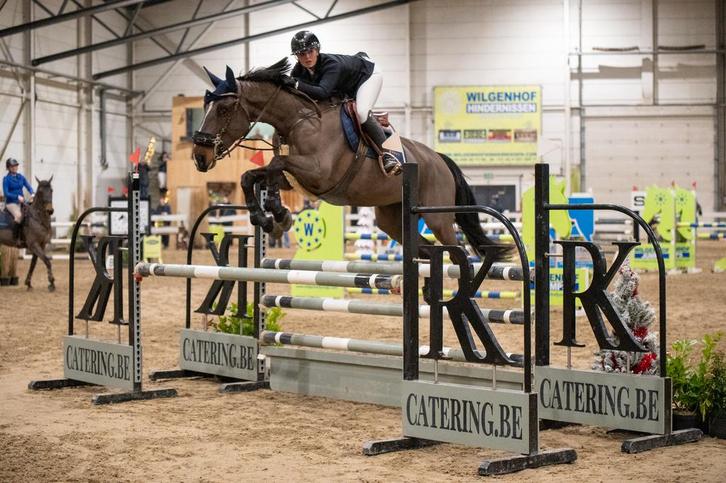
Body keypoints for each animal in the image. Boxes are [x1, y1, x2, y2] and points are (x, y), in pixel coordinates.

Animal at [190, 60, 507, 260]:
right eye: (206, 106)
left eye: (224, 109)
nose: (199, 158)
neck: (299, 119)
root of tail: (439, 159)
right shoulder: (299, 179)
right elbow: (255, 176)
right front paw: (274, 217)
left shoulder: (318, 173)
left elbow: (274, 166)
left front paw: (270, 216)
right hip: (392, 218)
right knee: (425, 250)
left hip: (437, 217)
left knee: (455, 251)